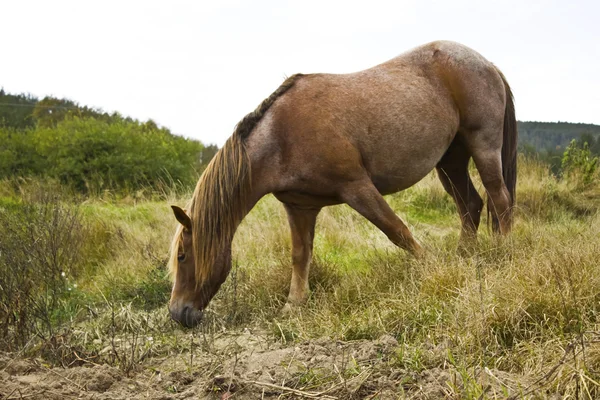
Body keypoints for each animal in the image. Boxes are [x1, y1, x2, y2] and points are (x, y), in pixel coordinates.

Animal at [168, 41, 516, 328]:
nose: (177, 313)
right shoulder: (299, 206)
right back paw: (465, 255)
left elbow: (397, 231)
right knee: (471, 204)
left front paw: (432, 269)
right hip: (450, 162)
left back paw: (502, 252)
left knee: (499, 199)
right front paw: (293, 305)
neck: (281, 135)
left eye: (182, 256)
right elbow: (300, 255)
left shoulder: (358, 188)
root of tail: (486, 63)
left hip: (483, 146)